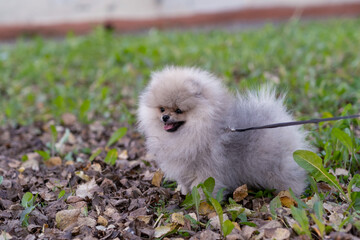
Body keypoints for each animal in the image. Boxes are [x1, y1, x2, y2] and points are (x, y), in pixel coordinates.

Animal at [138, 66, 310, 196]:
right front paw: (185, 193)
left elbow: (203, 187)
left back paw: (290, 194)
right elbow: (185, 182)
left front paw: (202, 203)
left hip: (276, 166)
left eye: (179, 110)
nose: (165, 117)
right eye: (161, 109)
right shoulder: (184, 167)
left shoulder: (206, 169)